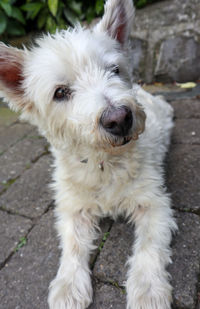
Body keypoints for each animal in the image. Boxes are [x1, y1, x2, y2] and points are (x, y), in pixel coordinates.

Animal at [0, 0, 177, 306]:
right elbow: (72, 245)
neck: (103, 162)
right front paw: (68, 286)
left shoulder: (154, 203)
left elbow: (149, 248)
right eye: (60, 92)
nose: (119, 119)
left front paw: (148, 291)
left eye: (114, 69)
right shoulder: (72, 207)